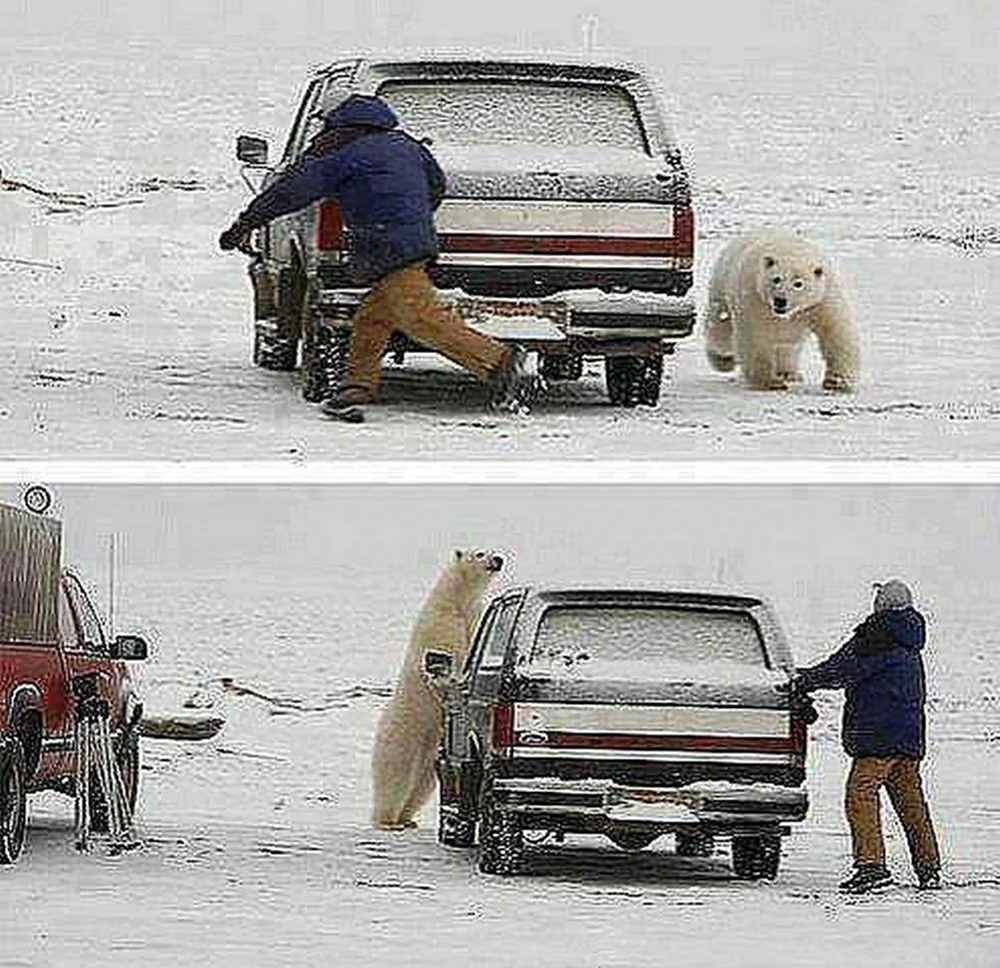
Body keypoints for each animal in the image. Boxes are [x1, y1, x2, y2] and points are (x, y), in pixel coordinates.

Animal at [372, 548, 504, 828]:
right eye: (480, 553)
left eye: (492, 550)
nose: (498, 558)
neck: (458, 599)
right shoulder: (441, 621)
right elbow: (449, 651)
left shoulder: (473, 618)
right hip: (404, 731)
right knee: (396, 775)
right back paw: (388, 820)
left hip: (433, 747)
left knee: (424, 784)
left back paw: (407, 819)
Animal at [704, 229, 860, 392]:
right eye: (776, 279)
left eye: (798, 283)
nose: (780, 300)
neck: (791, 251)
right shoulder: (755, 298)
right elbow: (755, 336)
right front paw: (770, 382)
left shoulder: (822, 299)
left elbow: (836, 333)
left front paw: (838, 382)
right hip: (722, 286)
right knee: (720, 325)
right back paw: (723, 359)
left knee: (787, 346)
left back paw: (788, 372)